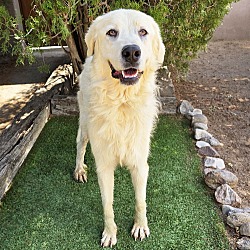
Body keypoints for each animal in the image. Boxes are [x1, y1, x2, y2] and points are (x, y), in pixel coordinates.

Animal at [73, 8, 165, 247]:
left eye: (143, 31)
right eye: (111, 32)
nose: (132, 52)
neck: (122, 103)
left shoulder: (140, 164)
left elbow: (140, 201)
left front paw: (140, 226)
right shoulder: (104, 167)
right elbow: (107, 206)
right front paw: (109, 233)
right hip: (85, 123)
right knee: (80, 145)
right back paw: (79, 169)